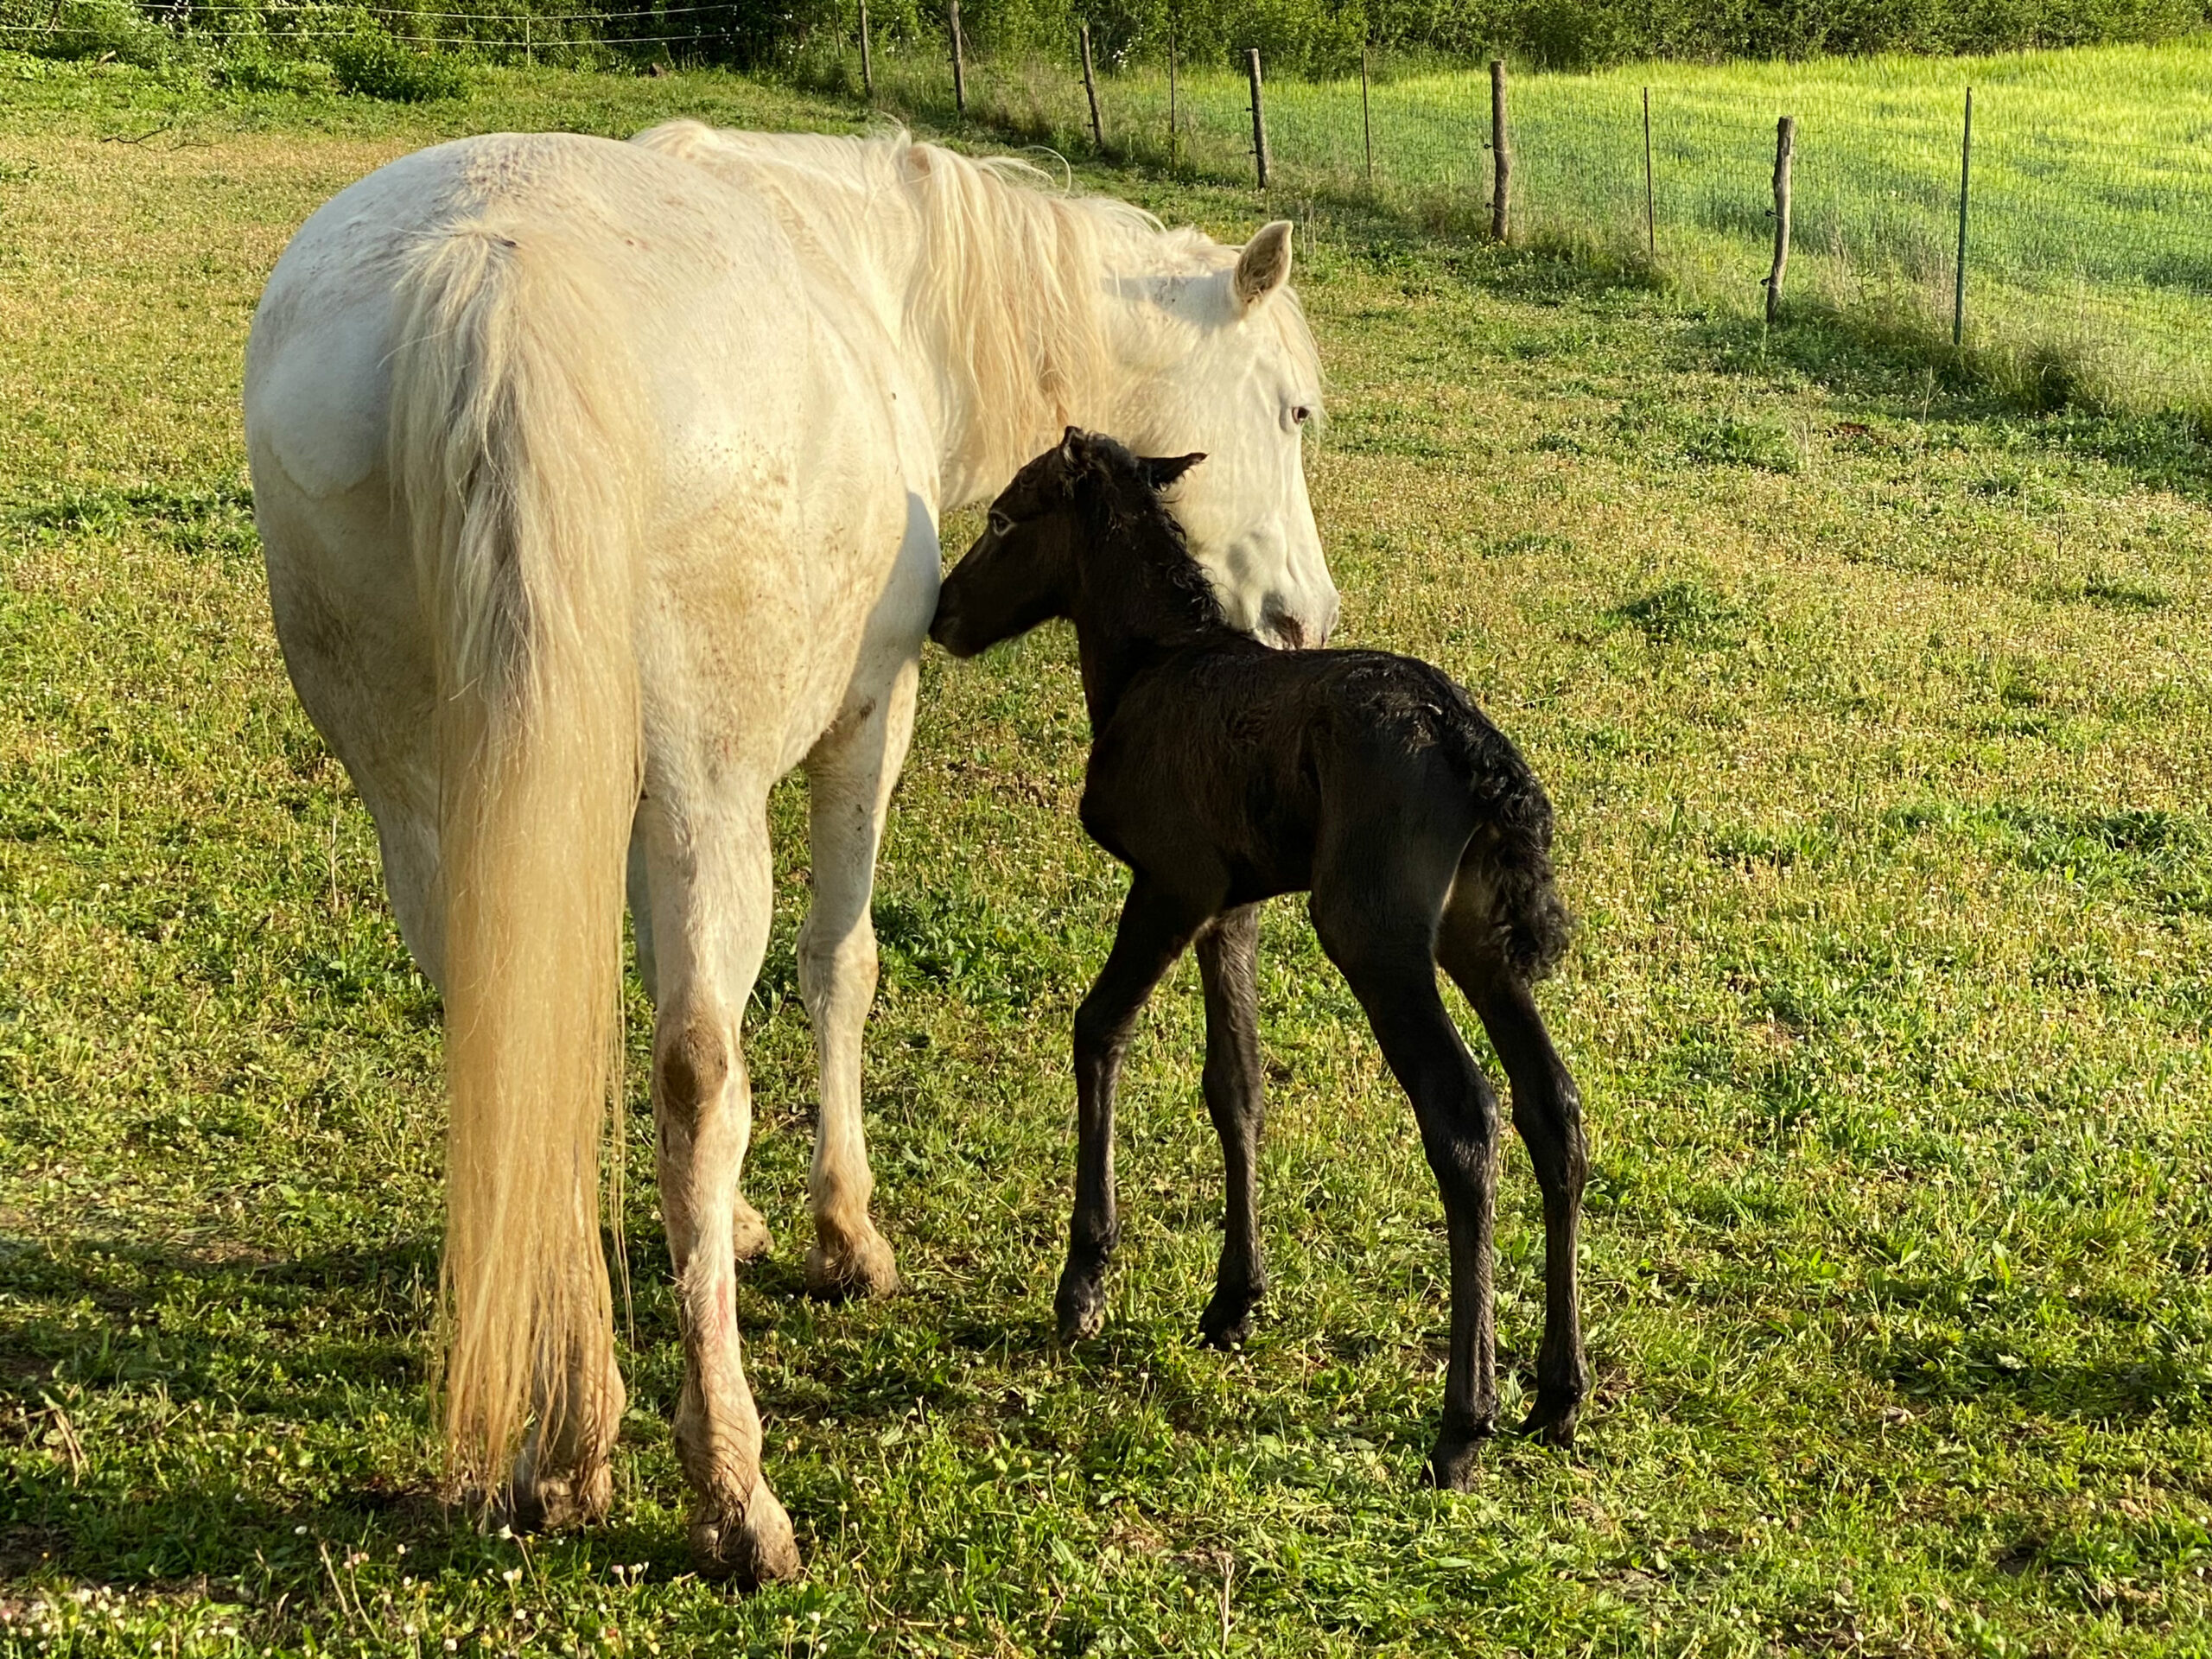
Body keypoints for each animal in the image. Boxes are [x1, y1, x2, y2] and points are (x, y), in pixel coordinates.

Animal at [251, 119, 1336, 1583]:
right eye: (1291, 412)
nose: (1303, 620)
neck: (890, 284)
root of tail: (491, 279)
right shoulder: (868, 723)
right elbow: (839, 968)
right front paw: (841, 1233)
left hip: (440, 808)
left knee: (524, 1029)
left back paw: (566, 1433)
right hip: (707, 806)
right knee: (698, 1083)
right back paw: (726, 1490)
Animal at [933, 431, 1592, 1495]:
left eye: (1001, 518)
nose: (943, 615)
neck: (1155, 668)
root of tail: (1474, 749)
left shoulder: (1173, 882)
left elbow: (1098, 1028)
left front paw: (1083, 1283)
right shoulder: (1229, 910)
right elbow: (1235, 1083)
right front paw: (1233, 1301)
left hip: (1373, 933)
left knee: (1464, 1117)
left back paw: (1465, 1422)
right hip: (1476, 939)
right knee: (1552, 1105)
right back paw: (1558, 1394)